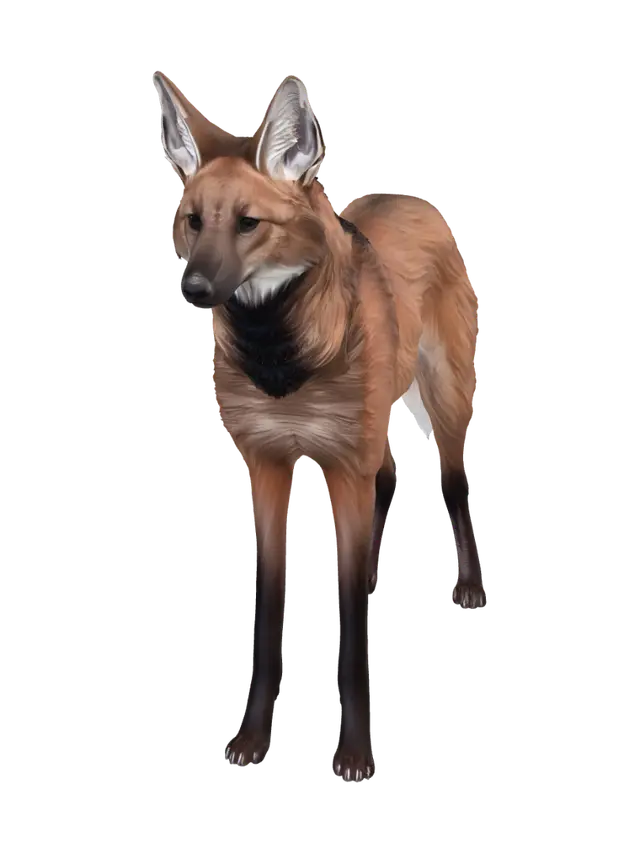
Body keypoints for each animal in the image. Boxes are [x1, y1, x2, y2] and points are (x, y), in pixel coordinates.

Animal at [151, 70, 486, 783]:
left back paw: (471, 586)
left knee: (451, 482)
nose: (194, 289)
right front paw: (251, 738)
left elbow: (351, 621)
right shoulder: (267, 464)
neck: (285, 363)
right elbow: (270, 603)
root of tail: (413, 199)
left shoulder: (340, 461)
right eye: (195, 221)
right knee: (389, 479)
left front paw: (355, 754)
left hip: (441, 404)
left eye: (249, 224)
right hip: (371, 437)